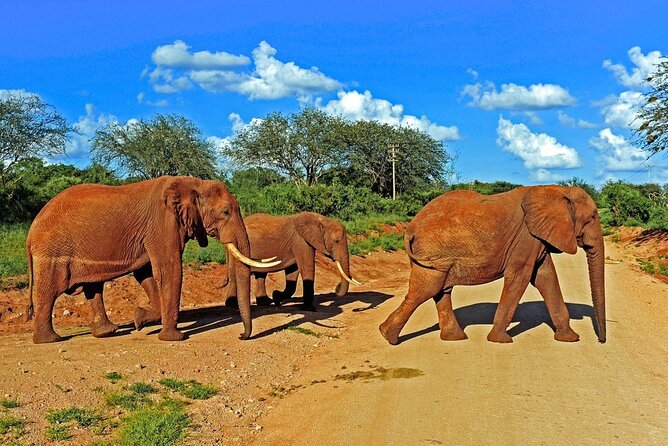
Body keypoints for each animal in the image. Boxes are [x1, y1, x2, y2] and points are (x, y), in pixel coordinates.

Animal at [26, 176, 279, 344]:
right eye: (225, 212)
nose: (241, 336)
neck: (193, 183)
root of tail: (30, 234)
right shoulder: (162, 223)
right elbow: (169, 270)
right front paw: (175, 338)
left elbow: (146, 274)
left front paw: (140, 319)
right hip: (52, 253)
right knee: (49, 291)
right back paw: (50, 340)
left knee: (92, 287)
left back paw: (107, 332)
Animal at [224, 212, 361, 311]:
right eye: (337, 241)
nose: (337, 288)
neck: (322, 220)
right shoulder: (301, 242)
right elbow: (306, 268)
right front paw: (310, 309)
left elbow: (293, 272)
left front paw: (276, 297)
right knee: (234, 275)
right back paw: (232, 305)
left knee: (261, 275)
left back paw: (265, 302)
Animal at [379, 185, 606, 345]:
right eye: (592, 217)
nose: (601, 341)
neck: (556, 190)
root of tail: (409, 228)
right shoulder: (526, 237)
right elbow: (520, 277)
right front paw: (500, 340)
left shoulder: (536, 239)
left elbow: (545, 277)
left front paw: (570, 339)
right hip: (432, 251)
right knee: (425, 291)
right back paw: (387, 337)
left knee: (441, 290)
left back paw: (454, 338)